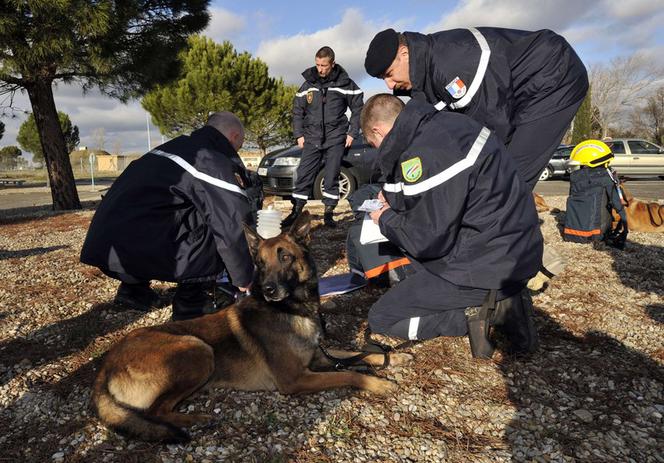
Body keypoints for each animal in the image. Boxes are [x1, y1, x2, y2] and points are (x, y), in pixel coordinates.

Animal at [91, 212, 412, 444]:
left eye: (286, 257)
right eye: (260, 262)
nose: (268, 289)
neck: (291, 309)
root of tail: (105, 366)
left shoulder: (319, 356)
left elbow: (356, 353)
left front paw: (395, 356)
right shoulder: (295, 379)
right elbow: (348, 373)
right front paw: (379, 383)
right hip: (198, 349)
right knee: (157, 411)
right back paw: (195, 420)